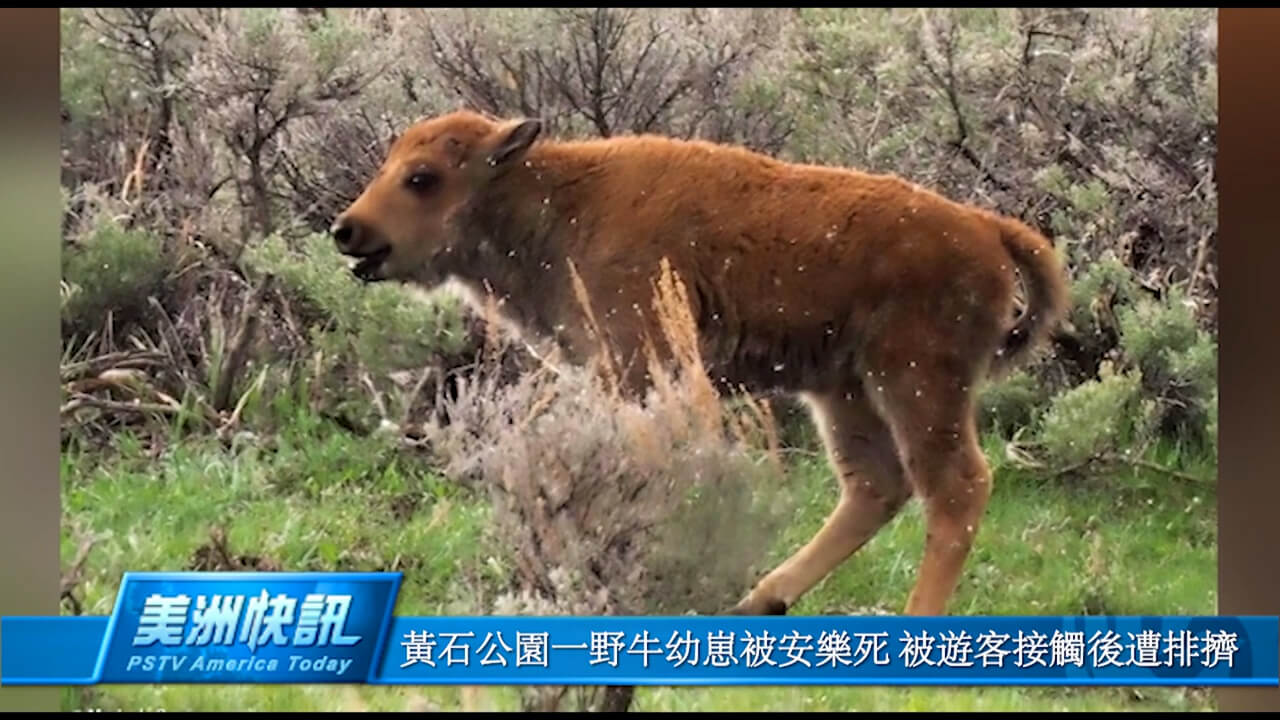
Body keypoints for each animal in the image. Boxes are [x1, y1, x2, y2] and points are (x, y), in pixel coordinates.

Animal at [332, 109, 1070, 614]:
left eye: (423, 178)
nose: (347, 230)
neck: (555, 199)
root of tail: (986, 227)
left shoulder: (642, 363)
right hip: (844, 391)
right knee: (876, 486)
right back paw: (759, 601)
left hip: (916, 382)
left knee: (955, 487)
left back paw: (914, 621)